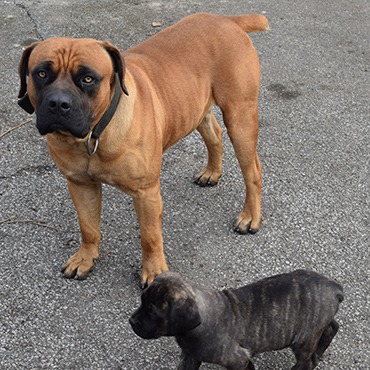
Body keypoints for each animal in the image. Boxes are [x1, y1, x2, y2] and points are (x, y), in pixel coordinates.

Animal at [17, 12, 268, 286]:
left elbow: (149, 236)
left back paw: (250, 216)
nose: (58, 103)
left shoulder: (146, 193)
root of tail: (228, 19)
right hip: (193, 108)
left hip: (240, 117)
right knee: (214, 134)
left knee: (252, 170)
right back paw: (212, 172)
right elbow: (88, 226)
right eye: (41, 73)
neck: (94, 135)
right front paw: (85, 258)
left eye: (88, 78)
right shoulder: (80, 185)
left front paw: (155, 271)